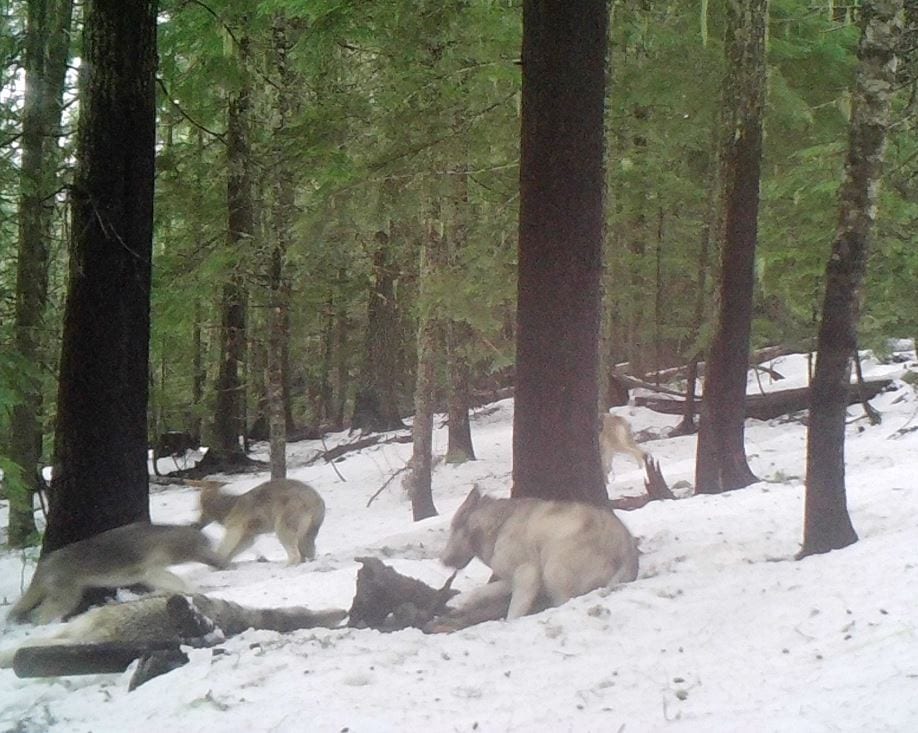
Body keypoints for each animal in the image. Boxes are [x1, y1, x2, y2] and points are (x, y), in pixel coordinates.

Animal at [7, 523, 227, 625]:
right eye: (208, 547)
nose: (223, 562)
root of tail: (47, 561)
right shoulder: (151, 571)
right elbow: (181, 582)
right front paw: (195, 590)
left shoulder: (151, 575)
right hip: (66, 598)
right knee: (40, 614)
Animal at [196, 478, 326, 565]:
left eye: (200, 508)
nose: (196, 524)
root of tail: (316, 500)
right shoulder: (248, 535)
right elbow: (235, 549)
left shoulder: (236, 528)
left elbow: (224, 547)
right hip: (310, 530)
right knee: (308, 550)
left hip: (285, 524)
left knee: (295, 554)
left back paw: (288, 565)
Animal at [441, 488, 639, 620]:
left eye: (453, 528)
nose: (441, 561)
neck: (498, 526)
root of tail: (628, 555)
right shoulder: (513, 578)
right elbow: (482, 591)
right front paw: (458, 601)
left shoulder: (527, 574)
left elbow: (514, 610)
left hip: (553, 568)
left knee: (564, 600)